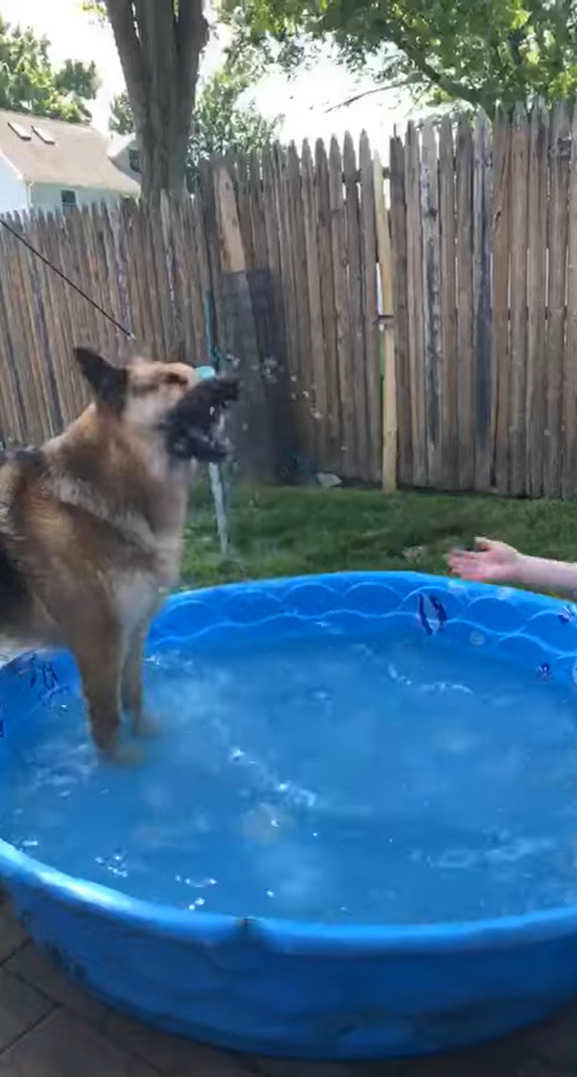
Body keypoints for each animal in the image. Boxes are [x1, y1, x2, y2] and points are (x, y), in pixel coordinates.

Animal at [0, 348, 236, 762]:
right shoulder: (99, 645)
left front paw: (150, 737)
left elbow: (133, 697)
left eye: (194, 373)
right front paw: (126, 768)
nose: (233, 385)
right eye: (172, 380)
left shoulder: (133, 633)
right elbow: (106, 722)